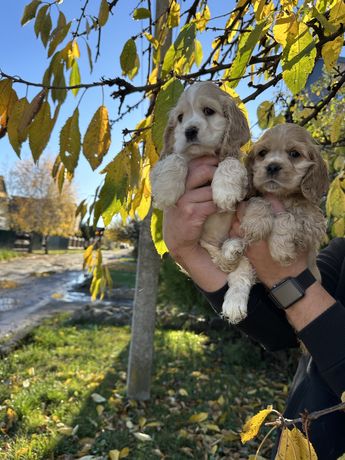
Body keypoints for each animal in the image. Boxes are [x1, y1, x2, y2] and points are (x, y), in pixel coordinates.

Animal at [150, 81, 250, 306]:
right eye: (180, 118)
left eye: (208, 111)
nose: (189, 131)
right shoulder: (160, 167)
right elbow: (176, 157)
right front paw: (167, 190)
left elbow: (230, 161)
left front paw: (224, 192)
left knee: (242, 271)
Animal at [222, 122, 330, 324]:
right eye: (263, 153)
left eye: (295, 154)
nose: (272, 166)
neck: (281, 196)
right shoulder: (255, 198)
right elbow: (259, 200)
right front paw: (256, 223)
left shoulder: (313, 224)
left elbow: (287, 216)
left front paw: (281, 249)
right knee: (240, 272)